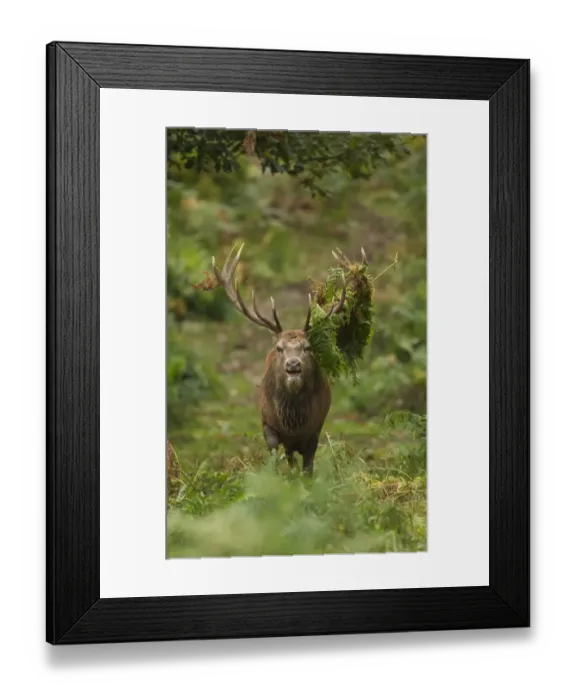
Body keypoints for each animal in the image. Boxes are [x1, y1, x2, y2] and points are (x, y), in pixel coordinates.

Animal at [212, 242, 351, 476]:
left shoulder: (315, 429)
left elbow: (308, 468)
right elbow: (273, 460)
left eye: (308, 348)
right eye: (279, 348)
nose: (293, 365)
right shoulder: (267, 424)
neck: (292, 424)